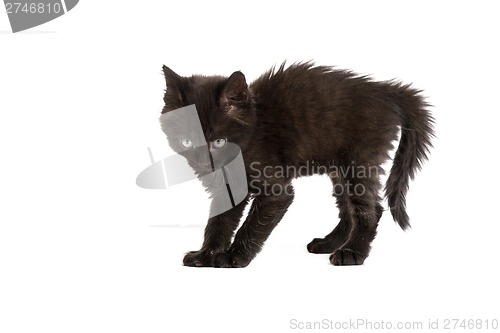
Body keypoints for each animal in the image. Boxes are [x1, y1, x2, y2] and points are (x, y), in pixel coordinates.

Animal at [161, 62, 434, 266]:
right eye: (187, 141)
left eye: (219, 141)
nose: (203, 164)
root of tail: (384, 89)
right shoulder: (227, 188)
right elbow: (219, 222)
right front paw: (206, 254)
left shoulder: (275, 190)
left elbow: (251, 224)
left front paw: (232, 257)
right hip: (339, 168)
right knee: (348, 210)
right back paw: (329, 244)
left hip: (360, 161)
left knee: (370, 209)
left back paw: (352, 253)